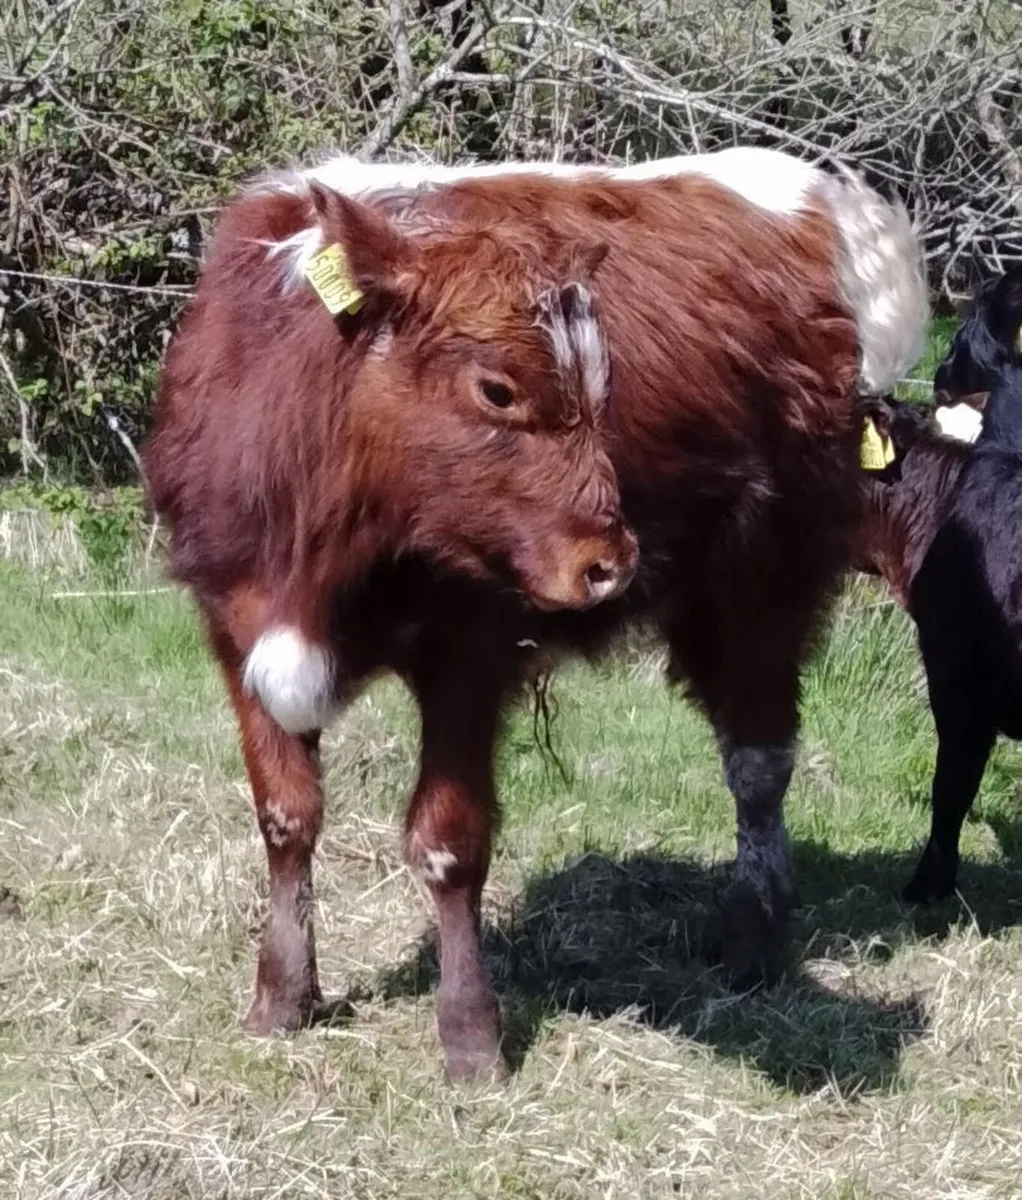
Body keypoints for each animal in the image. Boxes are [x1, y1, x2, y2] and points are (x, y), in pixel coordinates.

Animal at [145, 147, 928, 1081]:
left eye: (599, 391)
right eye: (497, 389)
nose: (610, 561)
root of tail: (812, 187)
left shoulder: (468, 653)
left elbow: (448, 842)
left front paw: (470, 1037)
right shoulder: (236, 632)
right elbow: (286, 817)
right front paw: (282, 997)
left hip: (767, 580)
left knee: (758, 760)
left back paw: (754, 941)